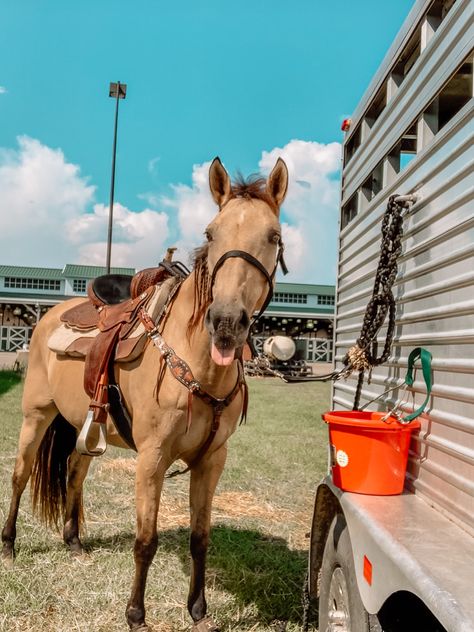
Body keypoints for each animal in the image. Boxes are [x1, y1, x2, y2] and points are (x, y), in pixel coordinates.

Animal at [0, 157, 288, 632]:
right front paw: (136, 613)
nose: (226, 321)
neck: (198, 365)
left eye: (274, 236)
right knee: (20, 476)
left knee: (75, 472)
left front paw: (197, 608)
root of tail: (50, 317)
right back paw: (8, 545)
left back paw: (74, 542)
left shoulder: (212, 461)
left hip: (85, 427)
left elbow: (200, 537)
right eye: (211, 232)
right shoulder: (152, 457)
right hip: (36, 416)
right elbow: (145, 540)